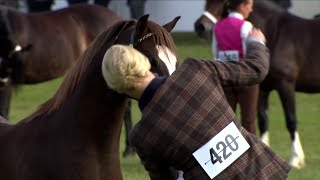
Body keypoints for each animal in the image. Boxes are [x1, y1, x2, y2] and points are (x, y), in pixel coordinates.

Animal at [194, 0, 320, 169]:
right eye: (206, 1)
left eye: (224, 2)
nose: (200, 26)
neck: (275, 33)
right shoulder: (263, 88)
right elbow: (262, 120)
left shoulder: (285, 84)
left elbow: (291, 120)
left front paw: (296, 159)